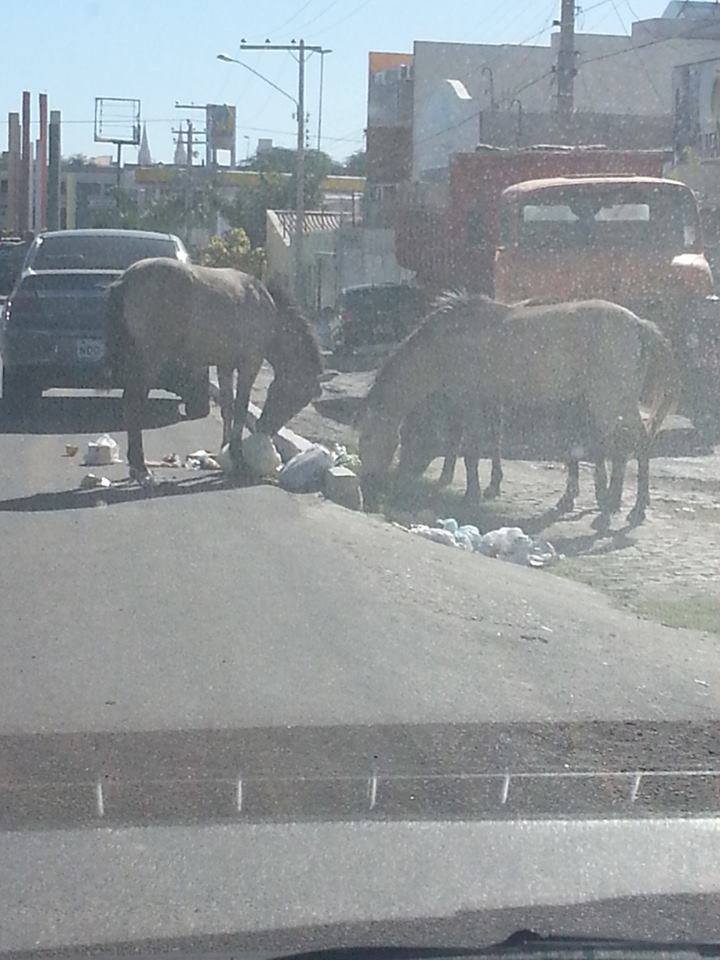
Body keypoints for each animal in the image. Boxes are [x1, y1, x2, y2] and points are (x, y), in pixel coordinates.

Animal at [107, 258, 323, 484]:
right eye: (298, 398)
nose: (265, 429)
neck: (267, 309)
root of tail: (126, 279)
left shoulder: (225, 366)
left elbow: (228, 407)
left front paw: (226, 452)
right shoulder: (249, 365)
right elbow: (240, 408)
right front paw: (238, 458)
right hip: (149, 361)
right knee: (134, 404)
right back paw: (141, 468)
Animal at [358, 293, 679, 527]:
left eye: (368, 438)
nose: (370, 485)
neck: (443, 346)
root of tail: (639, 325)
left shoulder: (471, 403)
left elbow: (470, 451)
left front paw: (472, 493)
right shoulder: (488, 403)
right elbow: (486, 443)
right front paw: (488, 485)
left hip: (611, 402)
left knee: (635, 443)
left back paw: (628, 508)